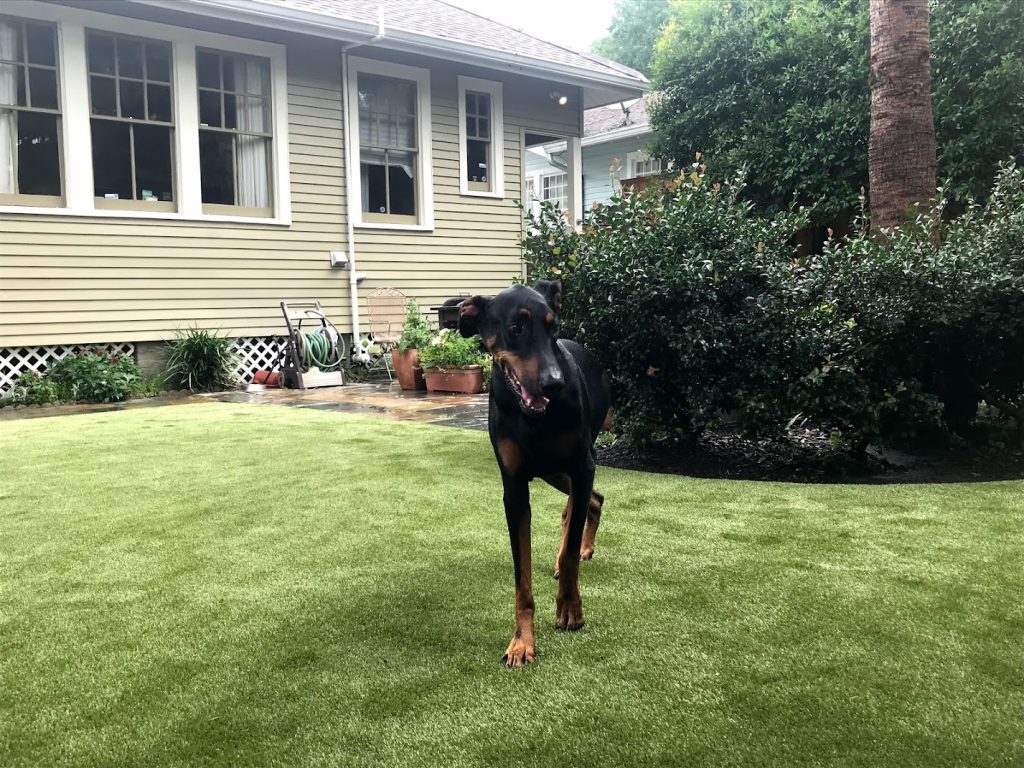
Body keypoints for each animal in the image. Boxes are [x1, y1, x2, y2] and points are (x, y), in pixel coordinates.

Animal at [460, 280, 610, 667]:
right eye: (516, 327)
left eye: (552, 327)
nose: (553, 383)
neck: (533, 418)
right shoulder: (514, 487)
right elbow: (521, 576)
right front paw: (521, 641)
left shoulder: (581, 465)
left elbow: (570, 555)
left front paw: (570, 609)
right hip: (551, 471)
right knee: (591, 499)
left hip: (572, 463)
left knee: (584, 502)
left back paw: (578, 550)